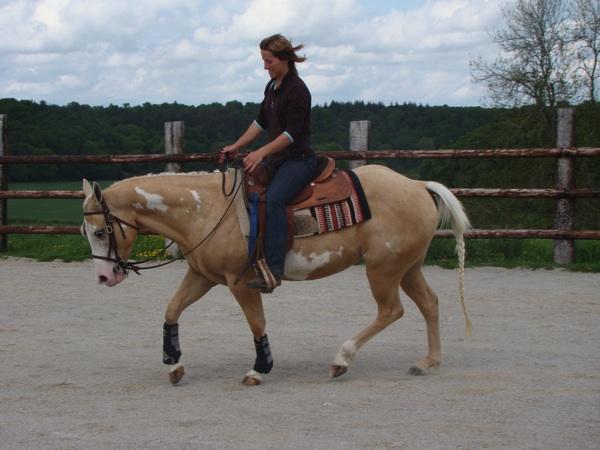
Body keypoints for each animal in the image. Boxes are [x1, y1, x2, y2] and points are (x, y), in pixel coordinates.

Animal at [81, 165, 474, 386]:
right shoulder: (201, 276)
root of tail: (417, 185)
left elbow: (257, 323)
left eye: (100, 231)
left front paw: (259, 368)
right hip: (407, 267)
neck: (206, 210)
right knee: (429, 304)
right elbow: (172, 310)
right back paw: (428, 363)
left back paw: (341, 360)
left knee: (392, 310)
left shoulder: (241, 283)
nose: (104, 278)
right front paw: (174, 364)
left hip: (383, 269)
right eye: (87, 231)